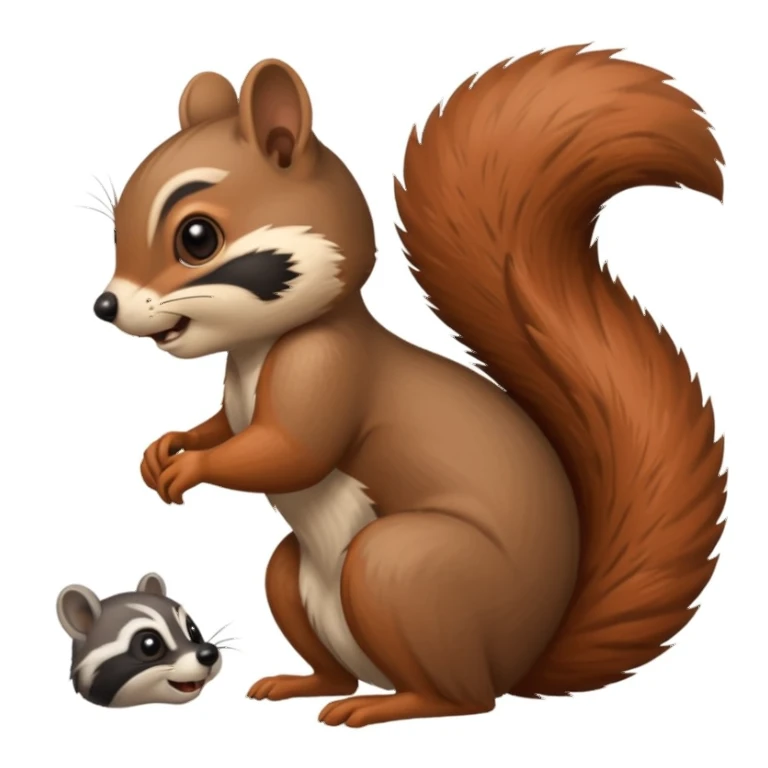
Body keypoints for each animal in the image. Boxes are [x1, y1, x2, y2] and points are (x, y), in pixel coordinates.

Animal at [91, 45, 726, 727]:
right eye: (114, 230)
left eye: (197, 237)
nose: (105, 306)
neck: (257, 349)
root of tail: (522, 661)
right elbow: (221, 426)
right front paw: (169, 446)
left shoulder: (328, 367)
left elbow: (289, 451)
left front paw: (191, 468)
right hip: (294, 575)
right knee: (335, 662)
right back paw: (301, 684)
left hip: (398, 569)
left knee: (465, 700)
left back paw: (383, 707)